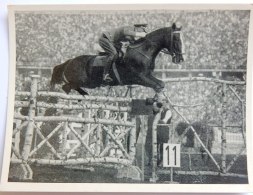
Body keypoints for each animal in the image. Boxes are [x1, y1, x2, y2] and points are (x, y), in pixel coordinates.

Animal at [50, 23, 185, 98]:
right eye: (177, 39)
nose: (180, 59)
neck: (143, 51)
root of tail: (69, 62)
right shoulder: (139, 77)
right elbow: (158, 84)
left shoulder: (147, 75)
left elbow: (161, 84)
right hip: (80, 80)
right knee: (66, 87)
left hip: (89, 83)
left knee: (71, 87)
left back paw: (84, 94)